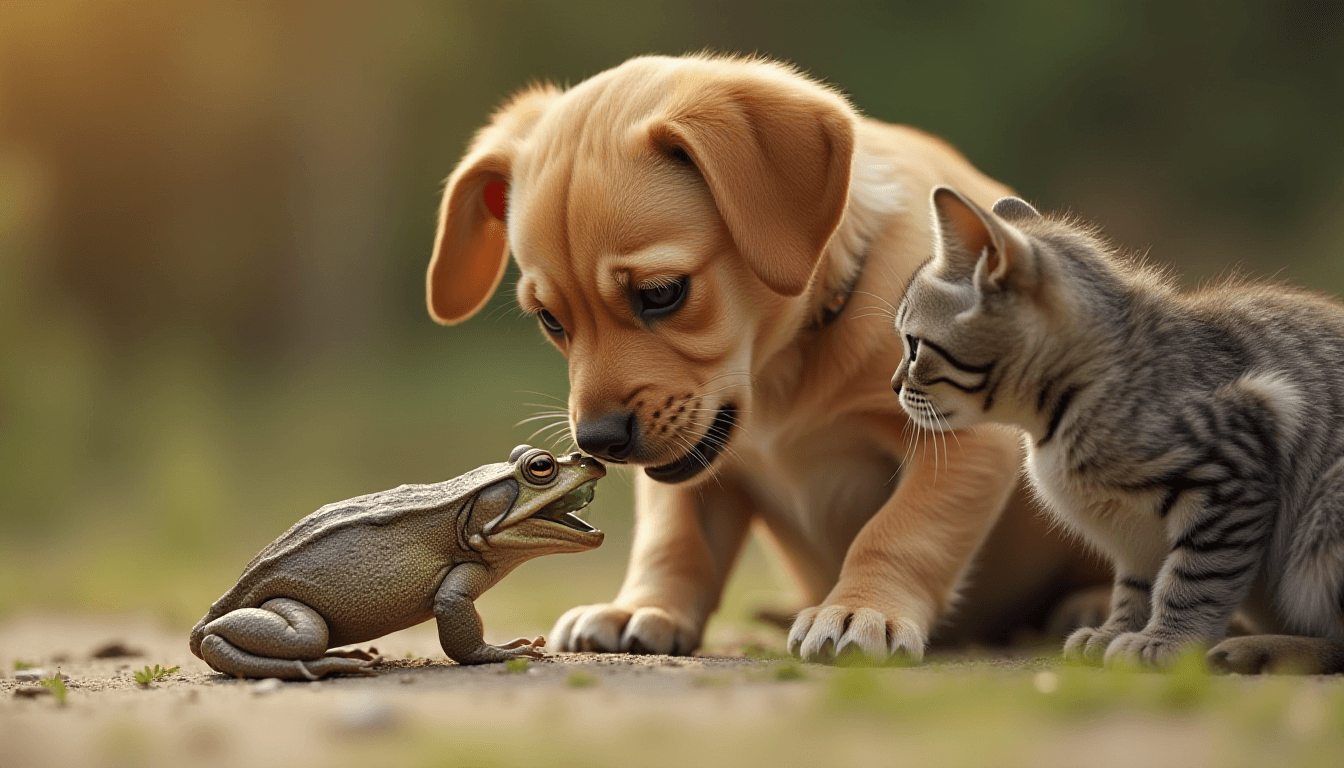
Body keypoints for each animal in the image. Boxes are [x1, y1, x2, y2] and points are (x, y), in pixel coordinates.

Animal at [424, 57, 1096, 664]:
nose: (597, 442)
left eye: (662, 293)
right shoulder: (693, 468)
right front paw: (645, 608)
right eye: (550, 320)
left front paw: (861, 609)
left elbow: (902, 532)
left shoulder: (961, 438)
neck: (781, 375)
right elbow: (674, 537)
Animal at [892, 188, 1344, 672]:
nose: (894, 384)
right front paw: (1118, 630)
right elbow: (1138, 586)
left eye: (914, 346)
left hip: (1324, 523)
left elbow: (1194, 577)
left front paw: (1166, 640)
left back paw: (1260, 648)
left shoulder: (1232, 475)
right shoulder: (1137, 535)